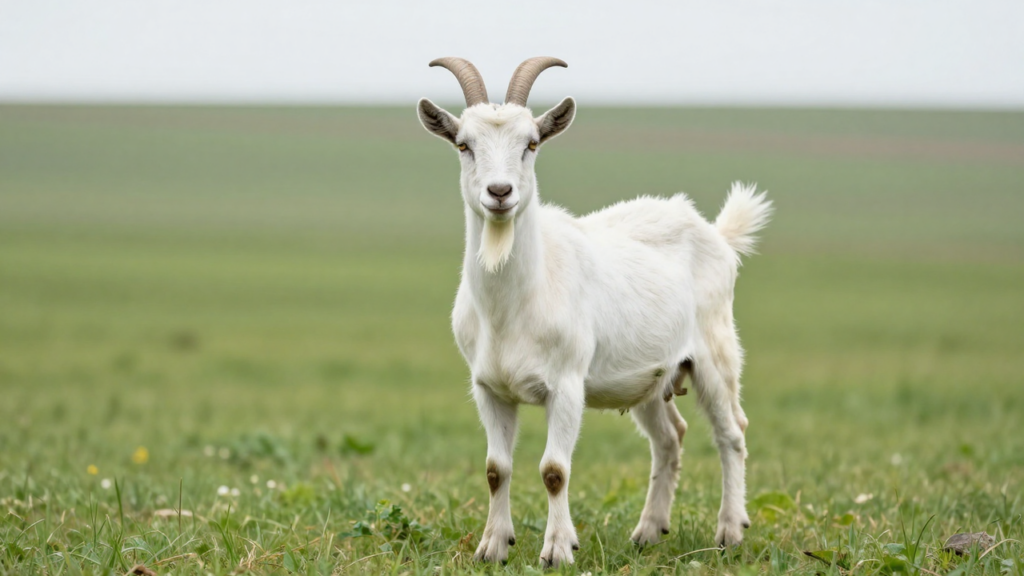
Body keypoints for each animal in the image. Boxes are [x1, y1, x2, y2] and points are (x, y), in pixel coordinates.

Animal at [417, 57, 772, 567]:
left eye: (531, 143)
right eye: (464, 144)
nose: (500, 192)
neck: (513, 305)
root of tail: (718, 235)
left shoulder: (566, 384)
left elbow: (554, 469)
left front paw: (557, 550)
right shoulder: (489, 388)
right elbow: (495, 468)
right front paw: (492, 547)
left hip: (715, 352)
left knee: (732, 433)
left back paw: (729, 532)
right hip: (650, 378)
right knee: (670, 438)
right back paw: (648, 531)